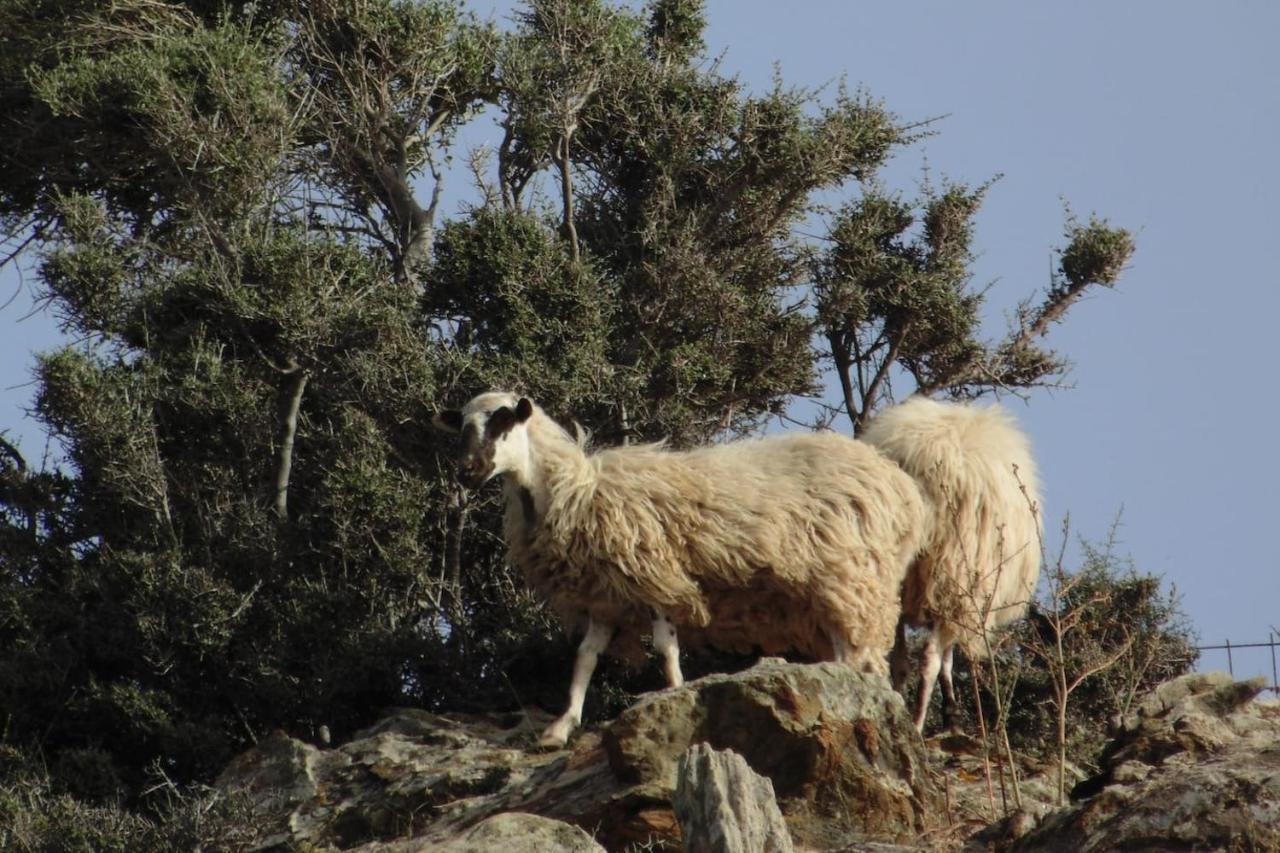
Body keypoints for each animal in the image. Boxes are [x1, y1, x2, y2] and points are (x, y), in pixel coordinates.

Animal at [435, 391, 926, 742]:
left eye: (503, 423)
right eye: (461, 428)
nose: (466, 472)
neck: (571, 491)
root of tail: (902, 489)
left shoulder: (656, 576)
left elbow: (665, 648)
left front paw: (672, 697)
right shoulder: (605, 596)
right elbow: (585, 657)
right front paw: (561, 725)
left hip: (851, 577)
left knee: (856, 655)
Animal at [860, 397, 1039, 732]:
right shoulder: (960, 597)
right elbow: (946, 657)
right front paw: (951, 712)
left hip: (898, 578)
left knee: (900, 659)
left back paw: (897, 707)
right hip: (952, 572)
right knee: (928, 658)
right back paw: (917, 724)